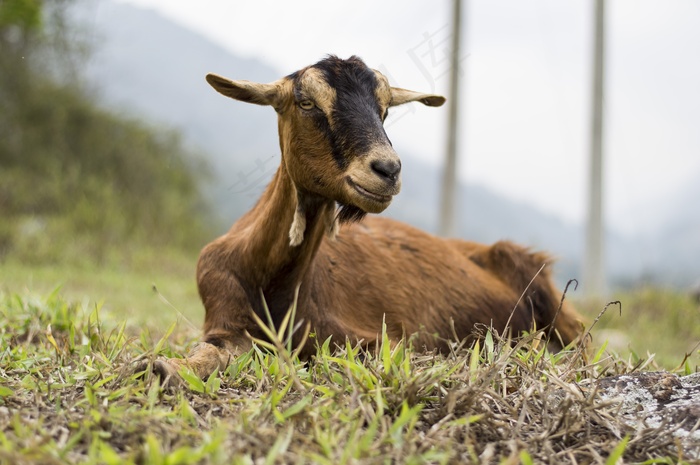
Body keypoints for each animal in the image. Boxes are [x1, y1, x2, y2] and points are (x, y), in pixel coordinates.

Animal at [154, 55, 584, 380]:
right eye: (306, 103)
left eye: (385, 108)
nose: (387, 169)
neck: (273, 282)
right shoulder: (223, 316)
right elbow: (215, 353)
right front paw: (166, 367)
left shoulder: (378, 339)